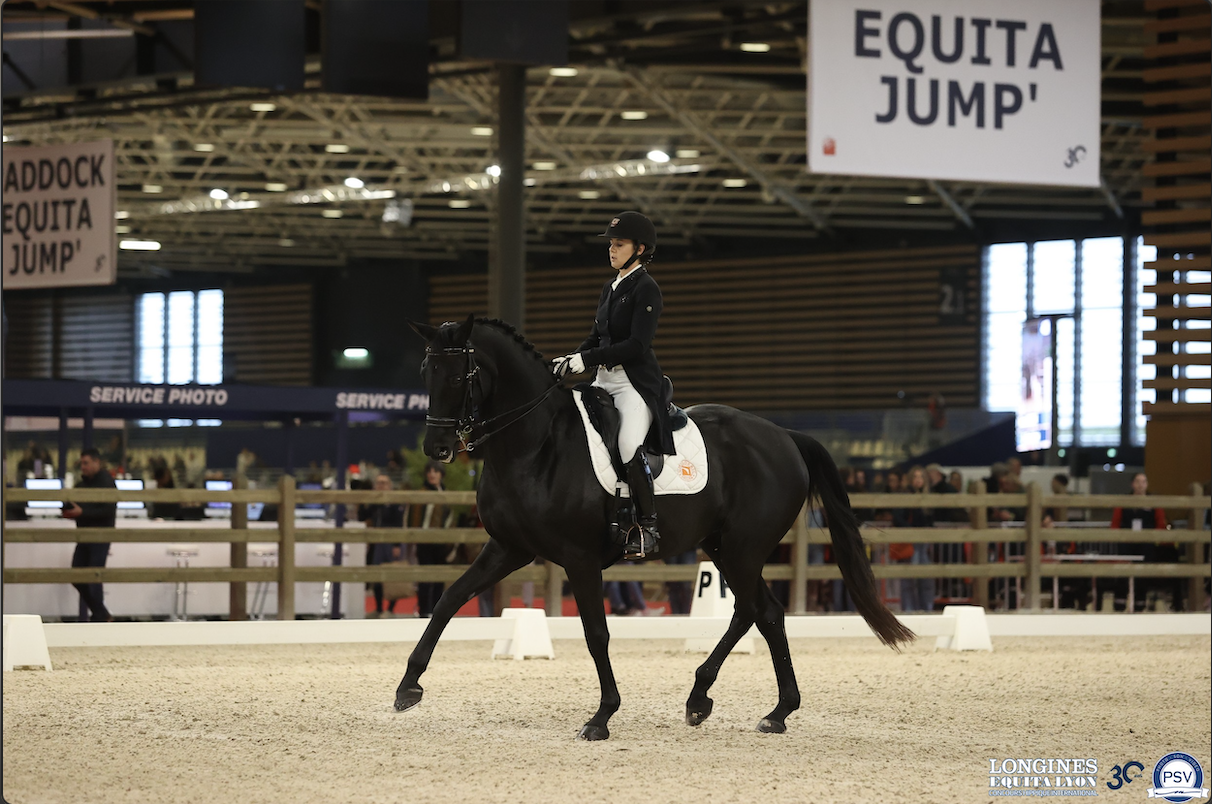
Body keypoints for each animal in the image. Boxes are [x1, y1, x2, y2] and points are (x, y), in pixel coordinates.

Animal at [397, 315, 911, 742]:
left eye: (458, 376)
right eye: (424, 373)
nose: (436, 448)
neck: (536, 444)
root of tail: (784, 436)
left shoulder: (579, 559)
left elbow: (596, 633)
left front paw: (602, 717)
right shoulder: (508, 548)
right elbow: (448, 601)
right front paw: (407, 688)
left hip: (743, 548)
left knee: (754, 610)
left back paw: (734, 703)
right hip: (722, 546)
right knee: (762, 612)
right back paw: (752, 708)